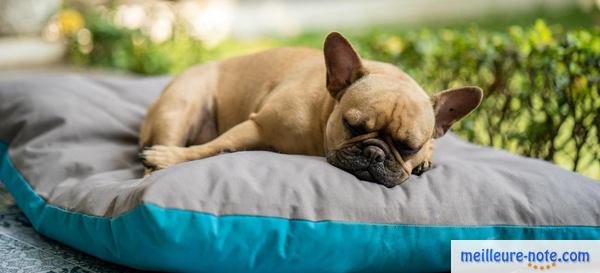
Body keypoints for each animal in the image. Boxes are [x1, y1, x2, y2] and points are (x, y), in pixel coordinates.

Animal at [138, 31, 480, 185]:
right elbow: (210, 149)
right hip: (180, 108)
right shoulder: (256, 125)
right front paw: (169, 158)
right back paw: (157, 160)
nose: (374, 153)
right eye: (351, 125)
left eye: (409, 147)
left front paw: (426, 161)